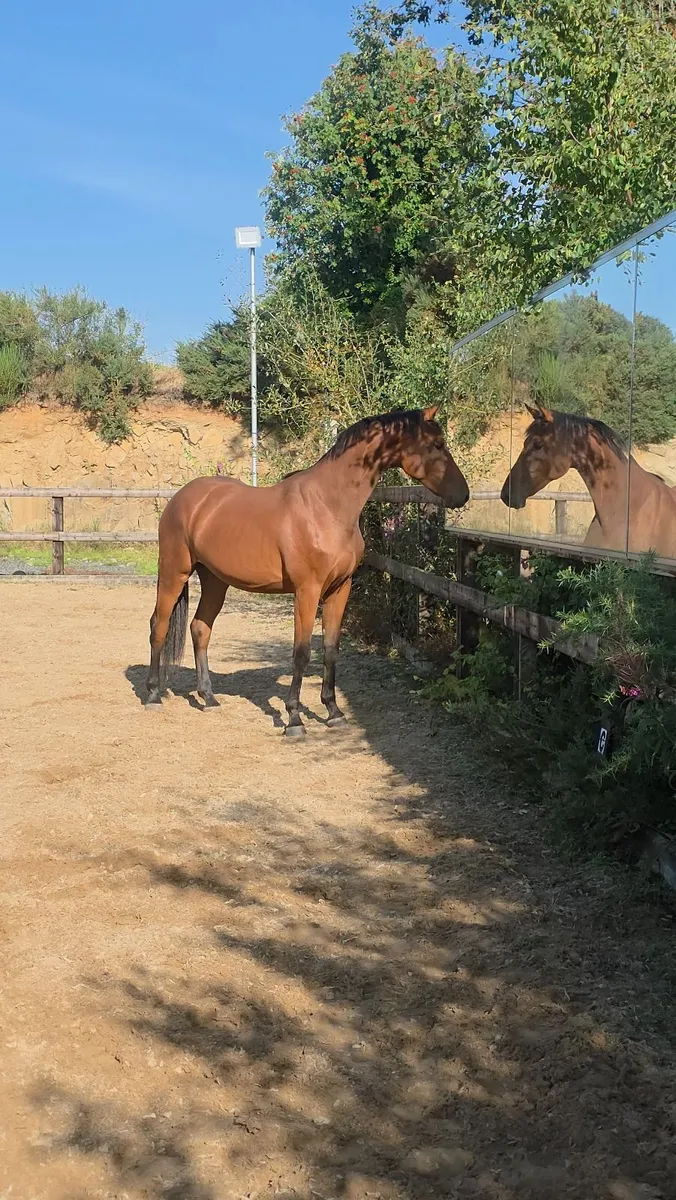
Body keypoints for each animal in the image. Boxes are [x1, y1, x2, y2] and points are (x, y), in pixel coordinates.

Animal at [146, 405, 470, 735]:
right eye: (437, 444)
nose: (463, 494)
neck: (326, 506)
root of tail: (181, 499)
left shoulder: (340, 589)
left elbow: (330, 648)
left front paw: (334, 711)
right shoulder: (307, 591)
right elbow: (301, 652)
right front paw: (294, 719)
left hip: (215, 580)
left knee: (200, 628)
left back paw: (208, 697)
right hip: (174, 573)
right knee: (159, 625)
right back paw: (153, 694)